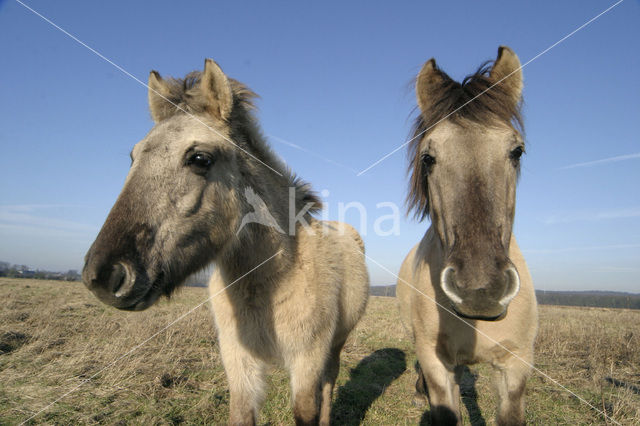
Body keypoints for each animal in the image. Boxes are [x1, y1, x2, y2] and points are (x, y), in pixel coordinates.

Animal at [82, 58, 368, 424]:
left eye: (200, 159)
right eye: (133, 156)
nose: (104, 275)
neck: (271, 279)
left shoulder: (308, 360)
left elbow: (307, 409)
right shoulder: (239, 362)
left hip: (335, 345)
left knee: (330, 382)